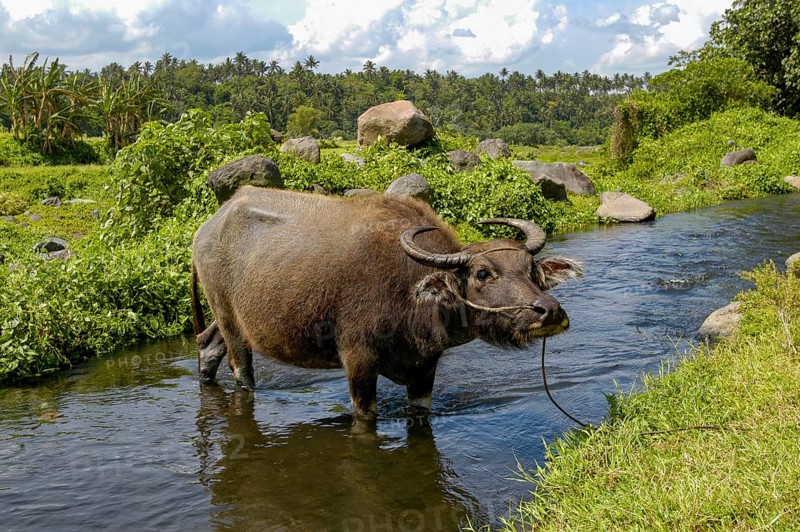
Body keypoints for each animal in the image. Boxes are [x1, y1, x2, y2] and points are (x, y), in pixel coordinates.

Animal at [192, 186, 582, 416]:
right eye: (483, 274)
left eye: (530, 270)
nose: (549, 311)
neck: (411, 295)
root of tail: (207, 228)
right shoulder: (358, 361)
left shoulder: (424, 370)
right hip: (230, 322)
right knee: (241, 370)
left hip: (228, 318)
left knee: (207, 345)